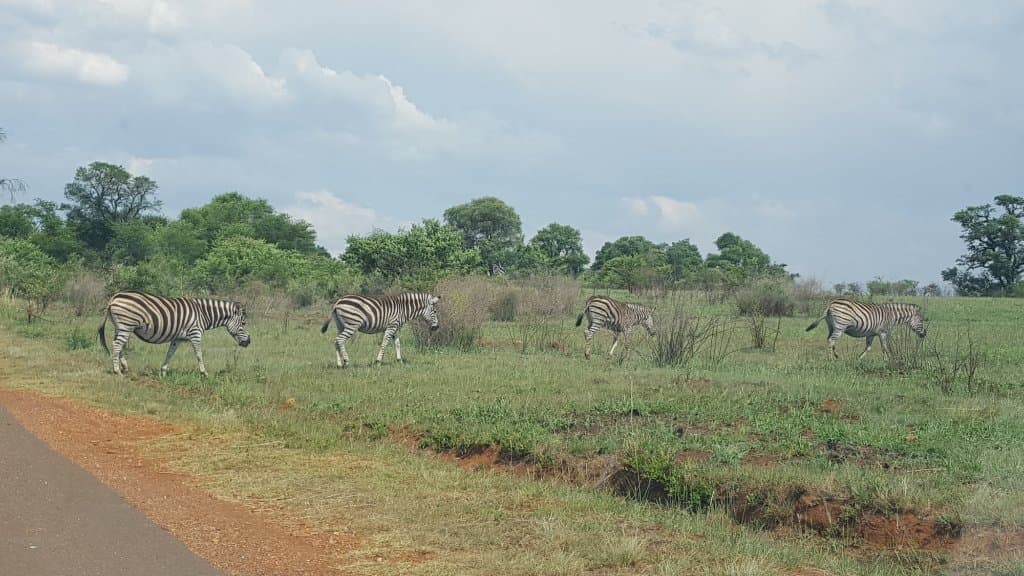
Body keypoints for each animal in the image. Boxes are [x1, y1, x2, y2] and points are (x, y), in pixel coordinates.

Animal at [98, 291, 251, 376]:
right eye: (244, 323)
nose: (249, 342)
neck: (203, 314)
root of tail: (114, 297)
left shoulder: (178, 338)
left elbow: (170, 353)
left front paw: (163, 371)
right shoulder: (195, 334)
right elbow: (199, 354)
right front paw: (204, 373)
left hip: (121, 327)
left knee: (119, 345)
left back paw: (124, 367)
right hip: (126, 324)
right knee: (116, 345)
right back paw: (117, 370)